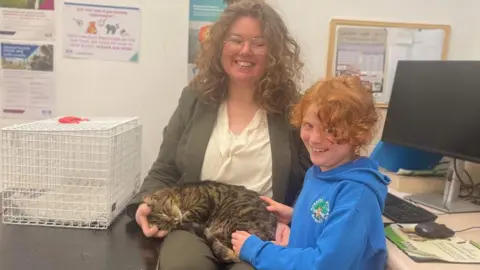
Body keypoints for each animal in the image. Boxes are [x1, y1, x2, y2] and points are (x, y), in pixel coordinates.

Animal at [143, 180, 278, 262]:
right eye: (166, 225)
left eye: (166, 210)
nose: (174, 221)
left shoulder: (202, 204)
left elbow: (189, 215)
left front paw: (183, 221)